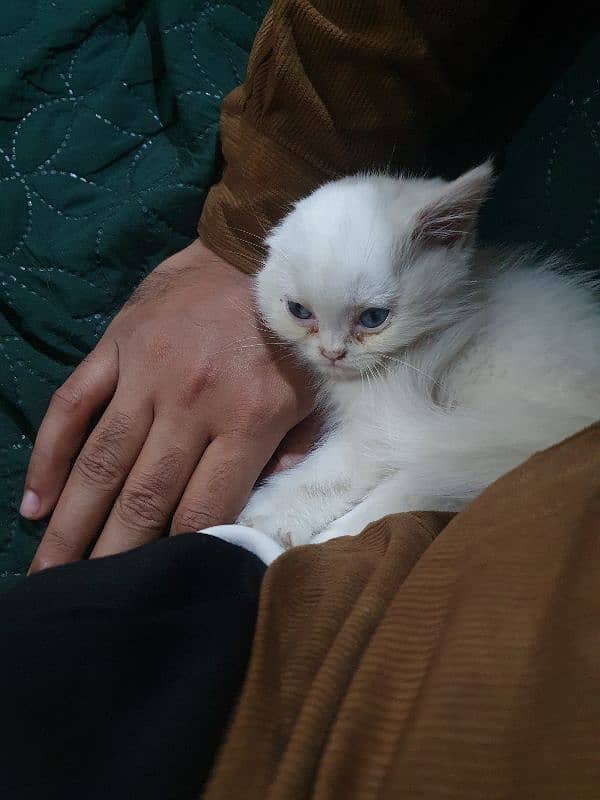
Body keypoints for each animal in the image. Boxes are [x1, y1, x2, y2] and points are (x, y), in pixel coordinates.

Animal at [239, 162, 600, 552]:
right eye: (299, 311)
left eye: (373, 317)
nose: (332, 353)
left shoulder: (379, 421)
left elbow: (334, 472)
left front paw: (271, 513)